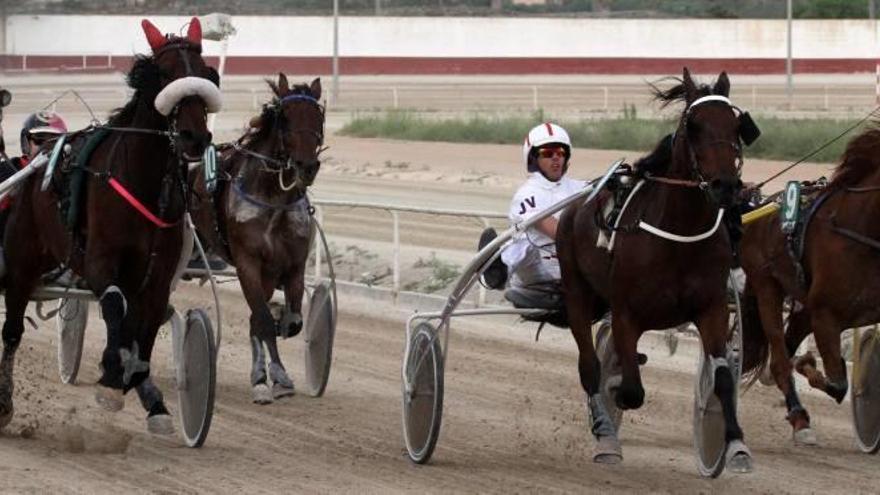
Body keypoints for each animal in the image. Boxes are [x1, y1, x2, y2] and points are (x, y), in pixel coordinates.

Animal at [0, 18, 222, 434]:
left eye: (206, 73)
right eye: (163, 75)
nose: (195, 136)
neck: (144, 184)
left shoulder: (157, 275)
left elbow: (144, 328)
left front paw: (145, 391)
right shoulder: (100, 262)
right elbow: (116, 308)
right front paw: (110, 378)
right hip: (22, 260)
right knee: (12, 333)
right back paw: (5, 403)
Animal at [189, 75, 324, 404]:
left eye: (319, 117)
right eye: (285, 117)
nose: (306, 166)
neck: (274, 200)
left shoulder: (292, 266)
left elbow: (289, 322)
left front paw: (273, 375)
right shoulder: (247, 263)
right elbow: (262, 319)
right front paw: (270, 379)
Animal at [560, 68, 752, 470]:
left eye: (736, 125)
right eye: (693, 125)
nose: (725, 186)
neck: (680, 234)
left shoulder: (711, 308)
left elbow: (723, 378)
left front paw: (736, 445)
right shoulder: (626, 312)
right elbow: (630, 389)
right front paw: (617, 391)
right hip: (577, 294)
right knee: (590, 367)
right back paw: (605, 433)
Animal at [740, 124, 880, 446]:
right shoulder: (826, 314)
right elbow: (838, 384)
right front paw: (806, 363)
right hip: (767, 286)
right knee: (779, 360)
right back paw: (799, 418)